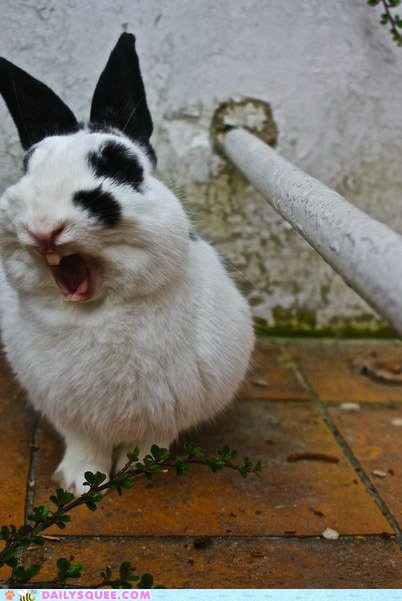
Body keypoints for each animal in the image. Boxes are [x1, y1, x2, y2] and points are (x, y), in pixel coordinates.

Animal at [0, 31, 253, 492]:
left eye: (121, 166)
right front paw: (81, 483)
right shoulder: (73, 417)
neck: (96, 313)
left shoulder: (165, 415)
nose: (44, 228)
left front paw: (139, 469)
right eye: (28, 168)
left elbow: (150, 442)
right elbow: (85, 446)